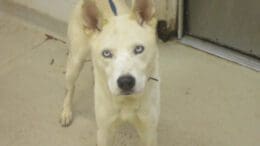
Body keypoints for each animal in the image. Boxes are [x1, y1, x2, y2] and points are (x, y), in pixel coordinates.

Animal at [60, 0, 159, 145]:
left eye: (139, 49)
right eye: (106, 53)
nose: (125, 82)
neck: (127, 101)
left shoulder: (149, 131)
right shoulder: (104, 131)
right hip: (75, 62)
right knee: (70, 88)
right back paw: (66, 112)